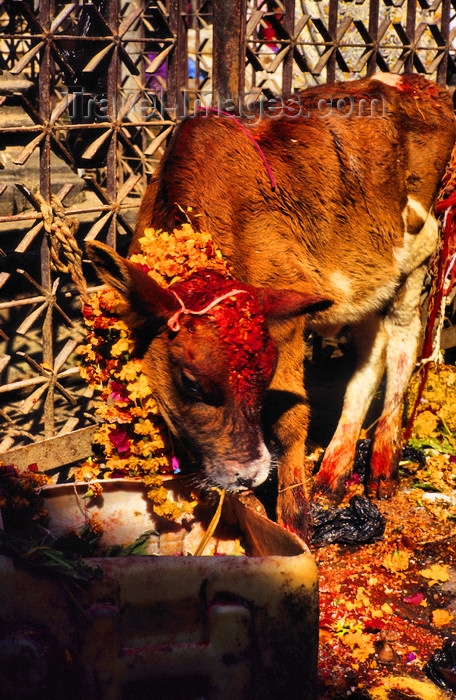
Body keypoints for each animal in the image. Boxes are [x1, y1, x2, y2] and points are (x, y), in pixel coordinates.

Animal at [88, 74, 456, 540]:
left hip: (418, 252)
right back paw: (334, 472)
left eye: (265, 376)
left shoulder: (288, 320)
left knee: (404, 343)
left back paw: (383, 465)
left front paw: (294, 520)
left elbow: (291, 420)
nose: (250, 474)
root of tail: (419, 83)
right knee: (371, 355)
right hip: (369, 276)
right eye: (191, 384)